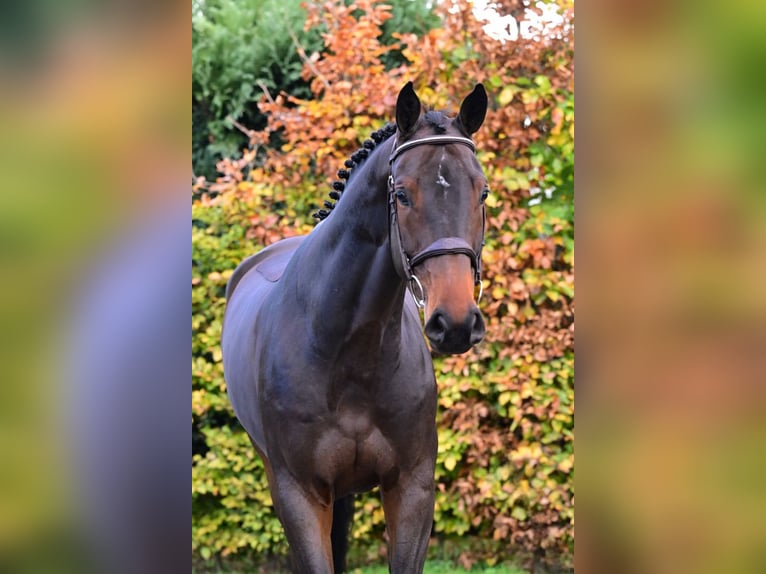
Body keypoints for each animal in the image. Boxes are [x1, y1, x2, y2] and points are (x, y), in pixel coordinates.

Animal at [222, 82, 489, 573]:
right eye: (402, 194)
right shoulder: (301, 496)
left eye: (481, 193)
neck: (344, 352)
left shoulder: (412, 489)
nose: (456, 321)